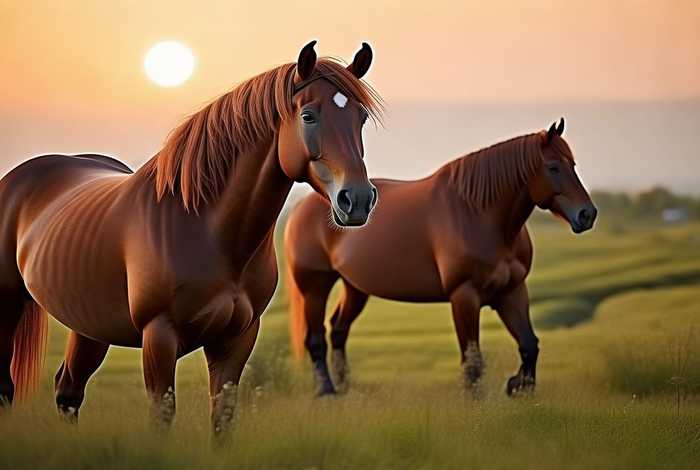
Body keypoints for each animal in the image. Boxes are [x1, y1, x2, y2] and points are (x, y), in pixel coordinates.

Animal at [0, 40, 383, 439]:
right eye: (308, 116)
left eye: (360, 119)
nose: (357, 200)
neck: (206, 230)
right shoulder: (159, 336)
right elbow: (162, 414)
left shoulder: (237, 337)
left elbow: (223, 417)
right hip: (8, 305)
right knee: (8, 387)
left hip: (88, 324)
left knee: (68, 391)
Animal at [285, 119, 597, 396]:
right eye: (553, 167)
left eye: (572, 165)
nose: (587, 214)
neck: (478, 214)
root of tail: (302, 208)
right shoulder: (464, 296)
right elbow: (472, 362)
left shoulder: (511, 291)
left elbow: (529, 345)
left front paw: (518, 386)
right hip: (314, 287)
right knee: (316, 339)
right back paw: (327, 391)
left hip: (355, 287)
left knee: (338, 330)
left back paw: (346, 388)